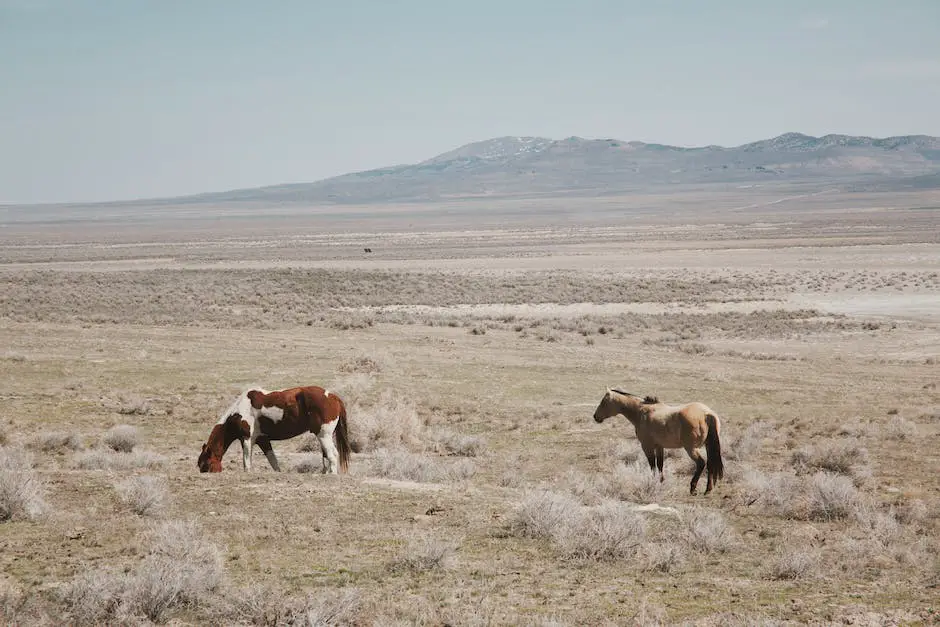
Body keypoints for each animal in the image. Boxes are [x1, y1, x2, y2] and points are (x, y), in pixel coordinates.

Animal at [196, 386, 350, 474]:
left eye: (205, 464)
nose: (203, 473)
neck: (239, 411)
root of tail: (334, 397)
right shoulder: (262, 440)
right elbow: (273, 461)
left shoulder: (246, 438)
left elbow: (246, 459)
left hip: (324, 435)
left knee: (333, 454)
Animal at [592, 388, 724, 496]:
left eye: (603, 402)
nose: (595, 417)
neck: (641, 412)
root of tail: (707, 413)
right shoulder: (659, 446)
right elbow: (660, 464)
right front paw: (660, 481)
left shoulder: (647, 447)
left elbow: (652, 465)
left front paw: (653, 481)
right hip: (708, 446)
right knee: (710, 464)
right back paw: (708, 489)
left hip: (691, 448)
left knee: (701, 463)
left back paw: (693, 488)